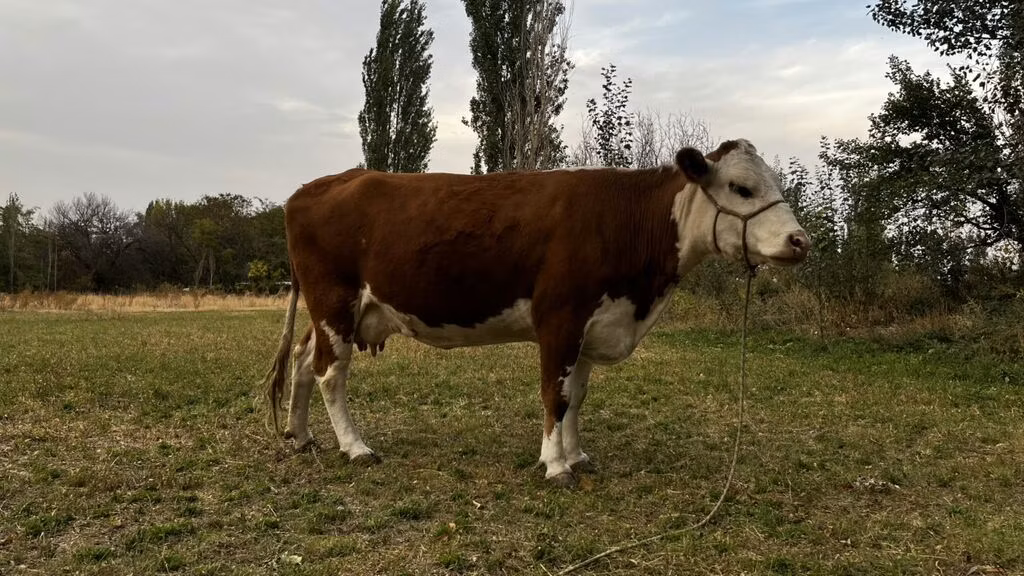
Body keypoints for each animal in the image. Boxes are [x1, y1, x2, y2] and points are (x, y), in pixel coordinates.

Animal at [263, 139, 810, 487]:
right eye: (742, 188)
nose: (800, 240)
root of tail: (312, 188)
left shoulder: (593, 324)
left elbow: (577, 397)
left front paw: (577, 455)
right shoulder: (560, 318)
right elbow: (555, 394)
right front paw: (555, 465)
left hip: (338, 311)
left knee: (304, 360)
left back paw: (300, 435)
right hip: (335, 299)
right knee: (330, 373)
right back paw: (355, 446)